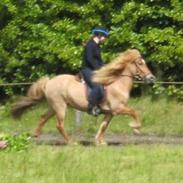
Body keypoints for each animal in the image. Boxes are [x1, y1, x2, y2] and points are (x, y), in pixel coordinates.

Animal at [11, 48, 154, 144]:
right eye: (140, 63)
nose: (151, 78)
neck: (117, 84)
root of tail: (49, 82)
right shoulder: (118, 108)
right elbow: (135, 112)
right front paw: (135, 128)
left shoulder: (110, 112)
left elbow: (104, 126)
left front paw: (100, 141)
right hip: (60, 107)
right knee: (59, 125)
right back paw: (70, 142)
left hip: (54, 107)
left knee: (43, 118)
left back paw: (34, 136)